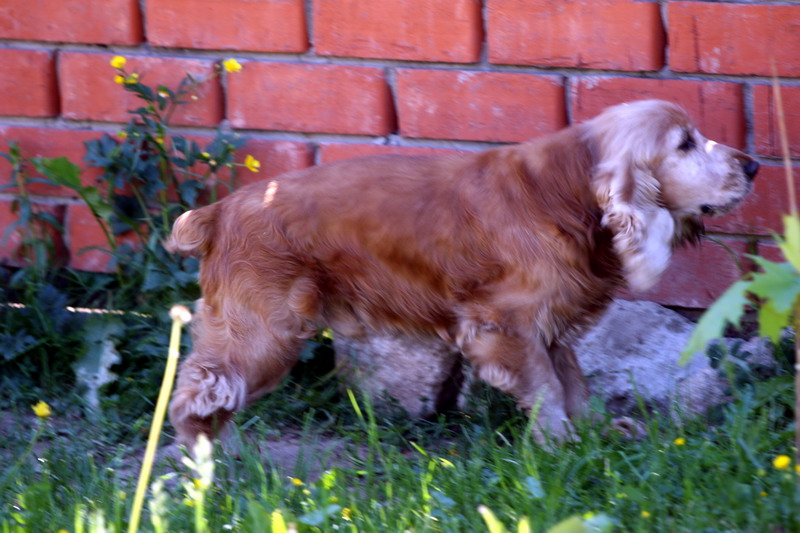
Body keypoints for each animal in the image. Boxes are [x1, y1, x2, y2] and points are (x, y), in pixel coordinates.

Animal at [167, 100, 756, 444]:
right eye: (684, 143)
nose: (752, 165)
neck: (568, 192)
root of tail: (220, 211)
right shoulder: (504, 325)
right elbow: (548, 389)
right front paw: (560, 446)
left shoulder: (552, 325)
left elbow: (574, 383)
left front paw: (596, 434)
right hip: (264, 332)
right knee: (198, 393)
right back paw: (208, 468)